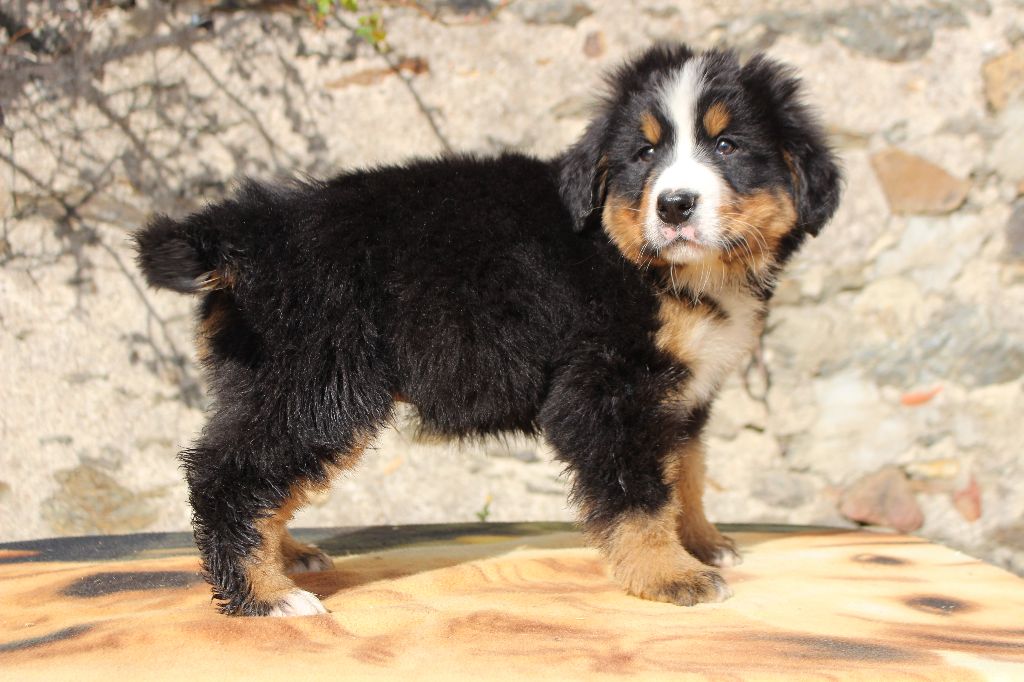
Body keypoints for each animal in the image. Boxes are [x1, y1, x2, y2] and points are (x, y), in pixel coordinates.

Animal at [134, 42, 840, 616]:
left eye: (727, 146)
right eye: (645, 154)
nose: (673, 205)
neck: (657, 267)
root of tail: (247, 227)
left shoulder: (682, 395)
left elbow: (685, 474)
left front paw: (703, 543)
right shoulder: (608, 391)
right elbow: (641, 495)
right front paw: (670, 576)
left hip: (274, 382)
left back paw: (284, 555)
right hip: (317, 384)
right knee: (227, 475)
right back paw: (266, 597)